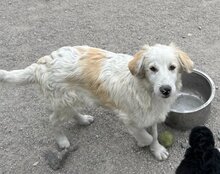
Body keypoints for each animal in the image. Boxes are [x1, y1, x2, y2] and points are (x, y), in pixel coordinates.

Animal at [0, 43, 192, 160]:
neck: (148, 92)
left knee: (71, 112)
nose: (166, 89)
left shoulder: (152, 115)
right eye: (152, 68)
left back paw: (83, 119)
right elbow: (146, 136)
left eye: (172, 67)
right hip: (62, 101)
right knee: (52, 120)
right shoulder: (128, 118)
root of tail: (41, 64)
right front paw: (142, 142)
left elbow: (155, 134)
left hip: (71, 98)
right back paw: (62, 140)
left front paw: (157, 149)